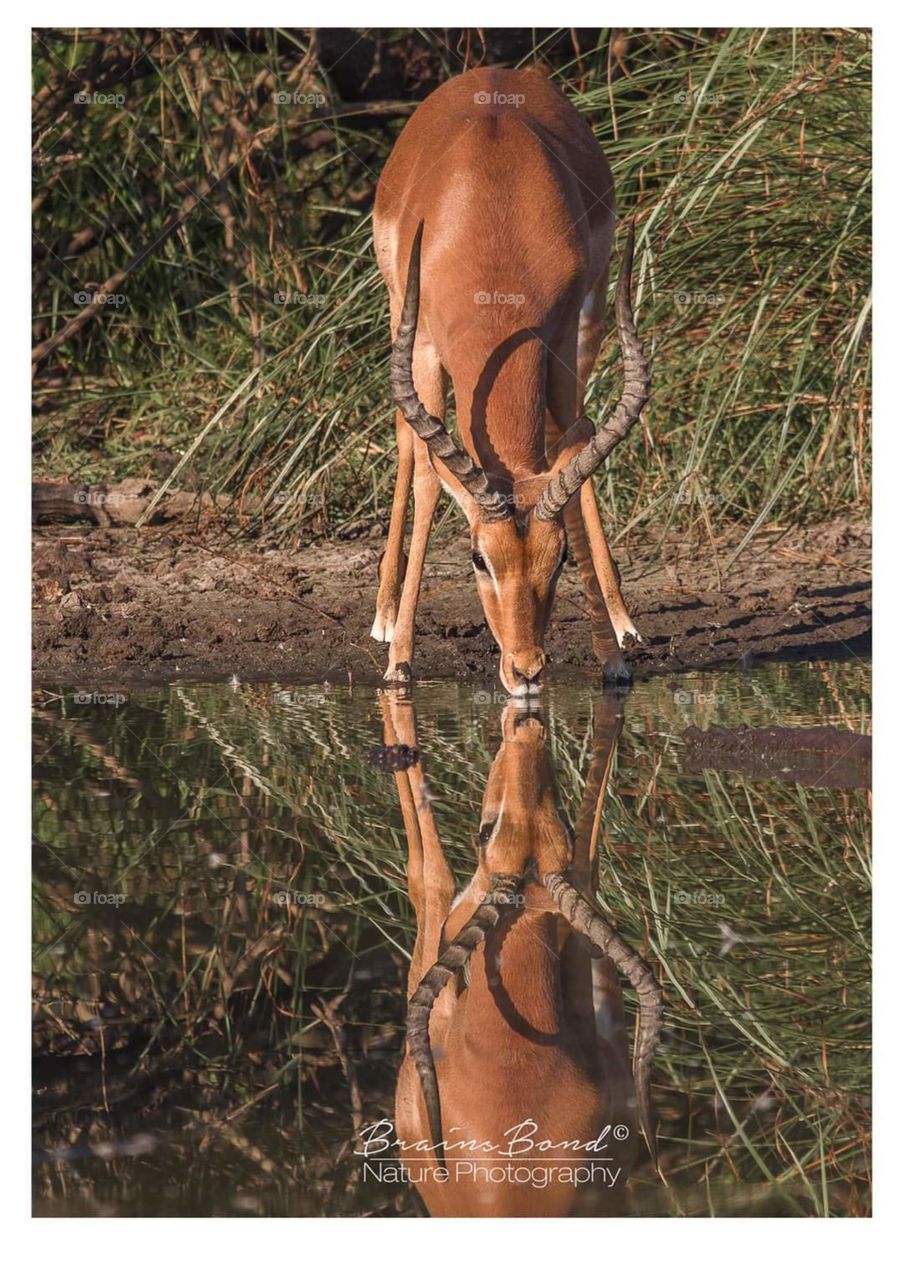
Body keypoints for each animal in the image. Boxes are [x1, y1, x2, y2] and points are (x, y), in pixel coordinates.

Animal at [371, 66, 650, 696]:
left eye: (561, 558)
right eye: (479, 558)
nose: (526, 669)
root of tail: (490, 72)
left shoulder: (564, 337)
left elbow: (576, 455)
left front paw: (612, 659)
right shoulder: (424, 346)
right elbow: (428, 478)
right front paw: (400, 662)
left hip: (593, 321)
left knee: (566, 442)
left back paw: (624, 623)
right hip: (399, 308)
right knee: (407, 443)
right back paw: (383, 617)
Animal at [381, 692, 662, 1217]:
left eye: (483, 831)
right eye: (564, 826)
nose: (525, 736)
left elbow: (426, 874)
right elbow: (591, 860)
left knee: (431, 876)